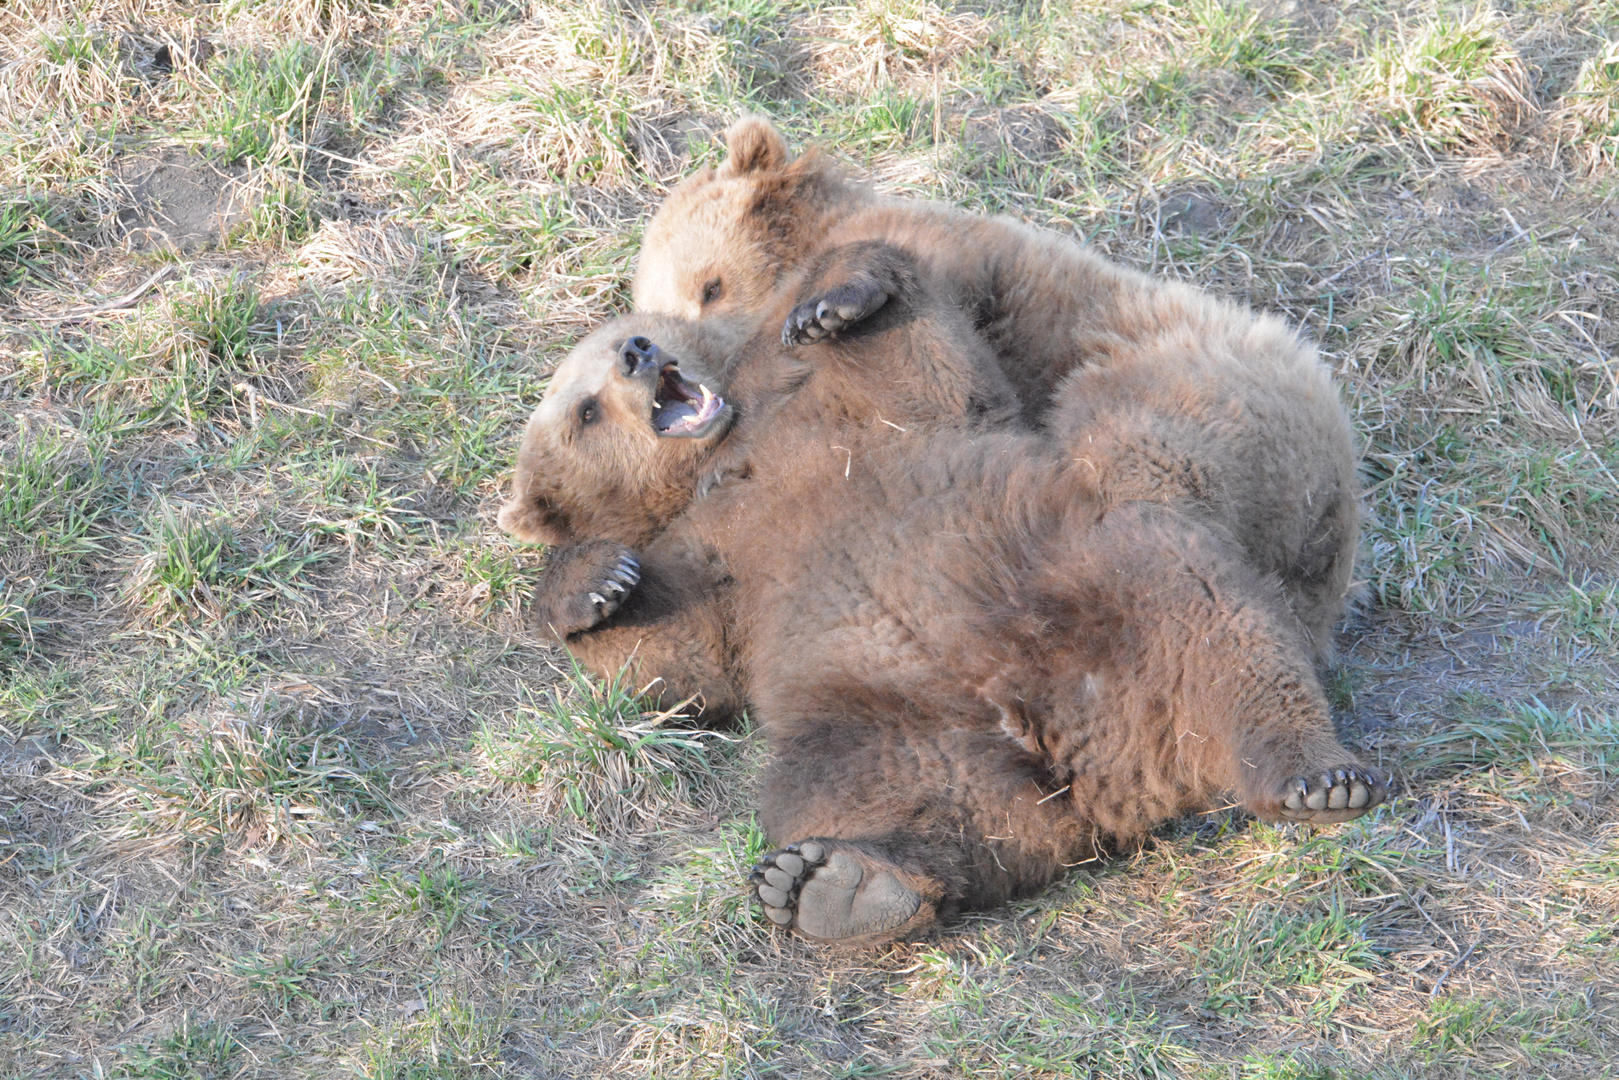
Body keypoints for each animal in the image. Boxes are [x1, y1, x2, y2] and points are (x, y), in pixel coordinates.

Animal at [624, 116, 1359, 660]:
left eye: (710, 285)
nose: (655, 350)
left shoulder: (958, 259)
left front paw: (825, 312)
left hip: (1184, 391)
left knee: (1130, 469)